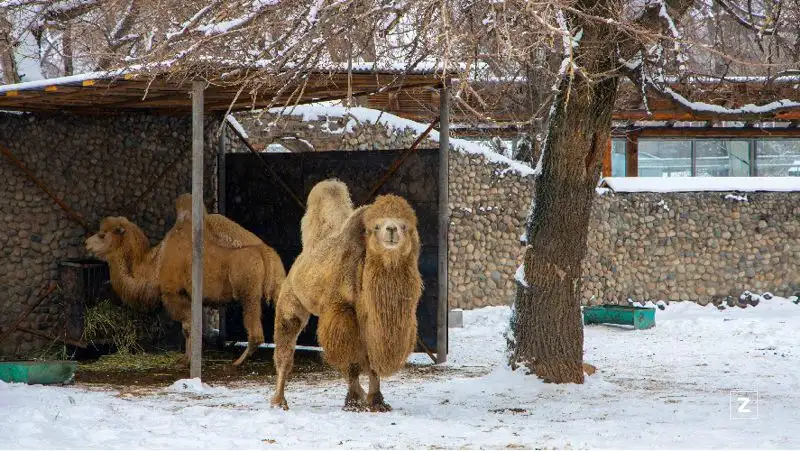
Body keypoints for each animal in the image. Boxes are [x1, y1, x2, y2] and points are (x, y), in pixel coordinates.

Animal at [272, 180, 422, 414]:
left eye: (406, 226)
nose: (392, 230)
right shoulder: (341, 311)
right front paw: (353, 402)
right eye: (375, 227)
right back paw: (279, 401)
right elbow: (351, 362)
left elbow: (371, 362)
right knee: (286, 348)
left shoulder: (372, 322)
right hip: (290, 297)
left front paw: (376, 401)